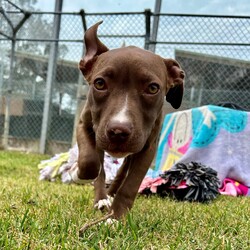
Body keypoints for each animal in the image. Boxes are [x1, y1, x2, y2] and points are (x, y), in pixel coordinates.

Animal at [72, 21, 184, 220]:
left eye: (153, 88)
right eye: (99, 83)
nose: (118, 131)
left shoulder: (147, 147)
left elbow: (131, 183)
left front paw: (116, 217)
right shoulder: (85, 126)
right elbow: (90, 162)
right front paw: (78, 175)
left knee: (122, 172)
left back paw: (110, 194)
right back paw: (102, 198)